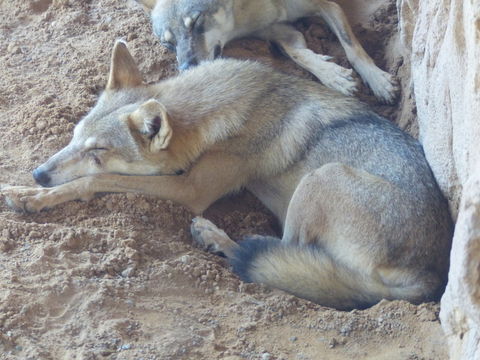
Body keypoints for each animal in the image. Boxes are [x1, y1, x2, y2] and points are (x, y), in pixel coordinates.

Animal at [2, 40, 454, 310]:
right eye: (75, 137)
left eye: (97, 152)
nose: (39, 173)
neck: (221, 109)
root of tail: (432, 277)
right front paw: (25, 189)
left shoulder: (191, 190)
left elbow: (92, 182)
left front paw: (33, 197)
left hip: (320, 178)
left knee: (276, 254)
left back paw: (215, 237)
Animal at [141, 0, 400, 103]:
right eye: (168, 43)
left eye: (195, 22)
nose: (186, 68)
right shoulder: (279, 32)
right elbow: (299, 55)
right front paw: (333, 76)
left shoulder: (327, 6)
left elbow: (352, 47)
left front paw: (377, 80)